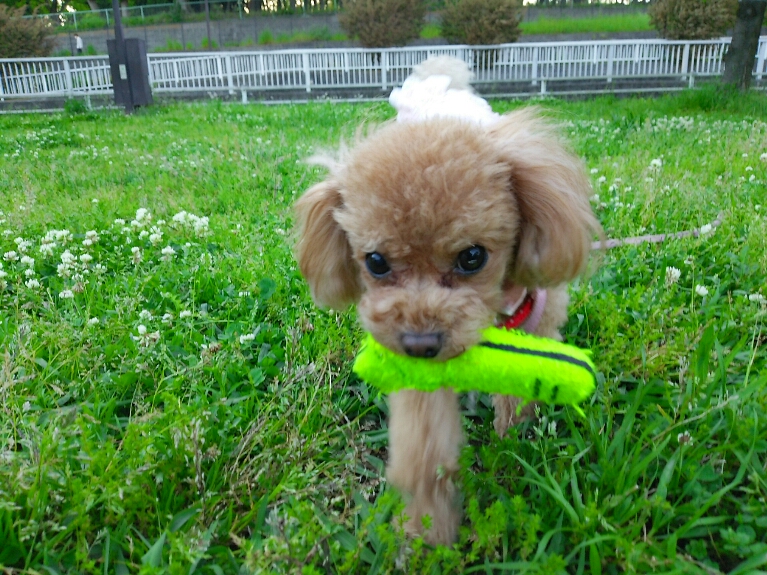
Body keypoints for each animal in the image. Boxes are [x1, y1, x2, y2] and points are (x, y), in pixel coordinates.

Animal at [294, 57, 601, 545]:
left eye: (472, 257)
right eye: (375, 262)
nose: (420, 345)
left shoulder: (536, 320)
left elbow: (518, 390)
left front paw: (511, 439)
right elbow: (424, 449)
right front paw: (427, 531)